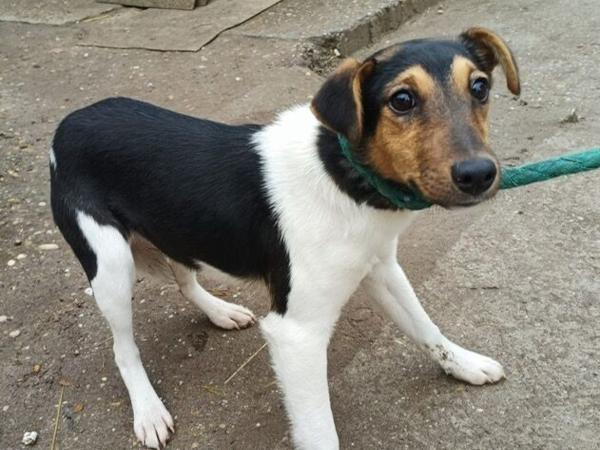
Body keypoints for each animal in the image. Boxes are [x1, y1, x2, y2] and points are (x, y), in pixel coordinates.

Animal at [50, 27, 520, 449]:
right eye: (401, 100)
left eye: (480, 88)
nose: (479, 174)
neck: (342, 177)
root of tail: (69, 123)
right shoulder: (297, 334)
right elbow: (319, 432)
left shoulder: (381, 267)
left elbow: (425, 327)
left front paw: (463, 364)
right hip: (111, 262)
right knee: (122, 348)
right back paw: (148, 411)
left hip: (176, 229)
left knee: (185, 280)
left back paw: (220, 311)